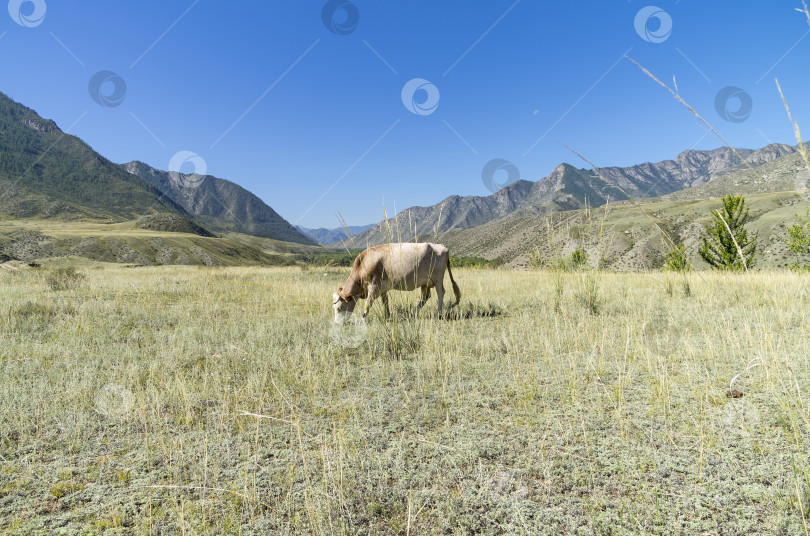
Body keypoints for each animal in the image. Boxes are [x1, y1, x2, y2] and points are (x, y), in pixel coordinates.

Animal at [332, 243, 460, 322]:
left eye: (339, 308)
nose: (336, 323)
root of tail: (441, 246)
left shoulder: (374, 287)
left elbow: (368, 304)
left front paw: (363, 319)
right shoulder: (382, 288)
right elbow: (385, 302)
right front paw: (387, 316)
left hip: (438, 278)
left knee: (440, 293)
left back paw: (439, 314)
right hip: (425, 282)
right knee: (425, 297)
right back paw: (412, 314)